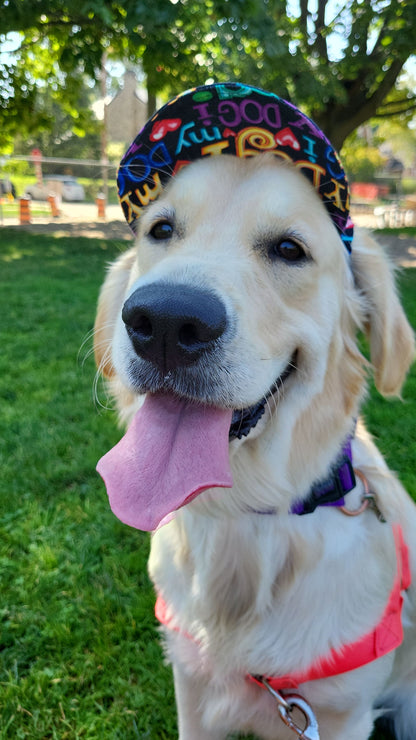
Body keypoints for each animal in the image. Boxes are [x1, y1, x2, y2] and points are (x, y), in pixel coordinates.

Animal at [94, 84, 416, 736]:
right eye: (161, 230)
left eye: (290, 249)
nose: (164, 321)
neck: (246, 515)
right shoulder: (192, 689)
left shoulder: (341, 713)